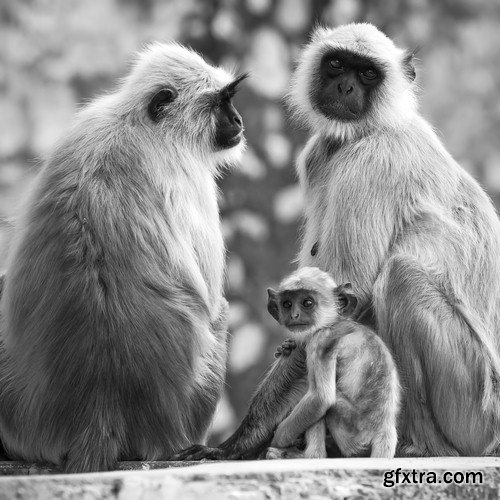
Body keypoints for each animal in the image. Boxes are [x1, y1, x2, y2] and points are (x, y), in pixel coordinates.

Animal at [0, 44, 248, 472]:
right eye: (222, 102)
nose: (237, 120)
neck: (137, 125)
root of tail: (101, 406)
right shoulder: (191, 178)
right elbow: (213, 300)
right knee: (220, 314)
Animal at [268, 268, 400, 458]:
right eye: (287, 304)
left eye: (307, 303)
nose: (294, 315)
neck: (334, 322)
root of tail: (384, 430)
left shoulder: (320, 341)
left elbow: (321, 398)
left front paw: (277, 439)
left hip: (352, 433)